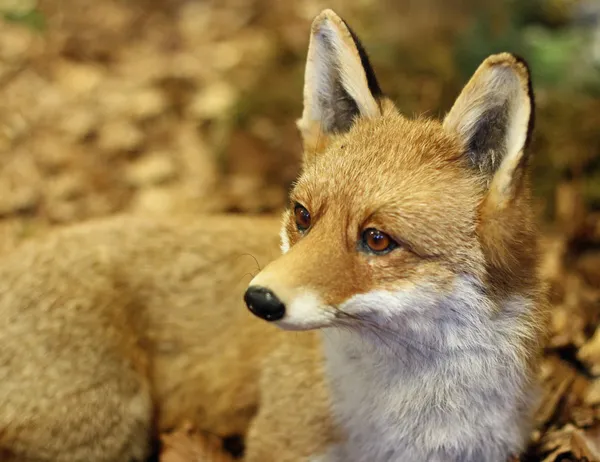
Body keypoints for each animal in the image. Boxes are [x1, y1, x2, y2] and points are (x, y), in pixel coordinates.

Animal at [0, 9, 548, 462]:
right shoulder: (278, 445)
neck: (409, 432)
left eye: (377, 239)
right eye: (302, 216)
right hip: (108, 425)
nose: (258, 299)